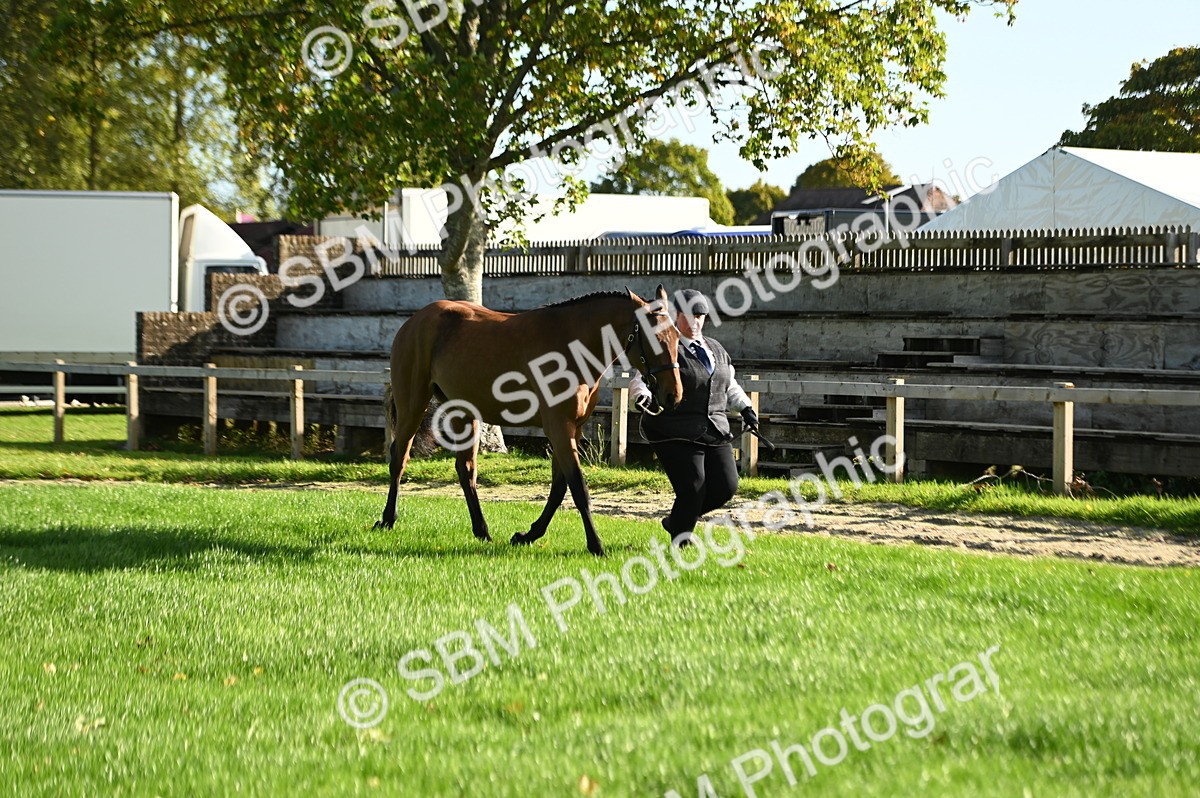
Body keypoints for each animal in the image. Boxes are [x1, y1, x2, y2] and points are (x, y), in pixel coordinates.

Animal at [376, 286, 683, 556]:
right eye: (654, 338)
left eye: (676, 336)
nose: (673, 394)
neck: (571, 346)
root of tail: (414, 322)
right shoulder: (559, 428)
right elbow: (578, 487)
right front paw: (596, 545)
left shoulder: (572, 429)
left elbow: (559, 488)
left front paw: (527, 535)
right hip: (413, 405)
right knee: (399, 458)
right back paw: (388, 519)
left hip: (464, 413)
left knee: (466, 470)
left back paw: (482, 531)